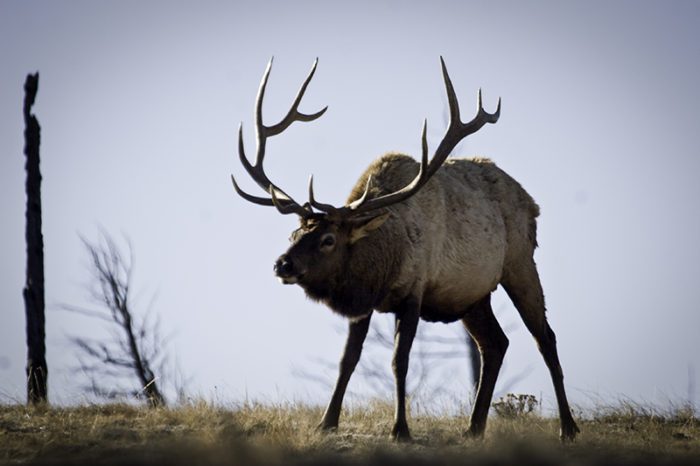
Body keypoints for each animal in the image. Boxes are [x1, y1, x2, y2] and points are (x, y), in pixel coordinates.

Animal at [230, 57, 580, 442]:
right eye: (294, 233)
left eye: (328, 240)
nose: (283, 265)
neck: (382, 262)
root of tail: (531, 200)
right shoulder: (364, 305)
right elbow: (347, 360)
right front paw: (327, 422)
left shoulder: (414, 292)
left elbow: (400, 361)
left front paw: (400, 429)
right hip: (473, 295)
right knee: (495, 343)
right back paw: (474, 428)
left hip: (520, 263)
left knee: (545, 337)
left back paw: (567, 427)